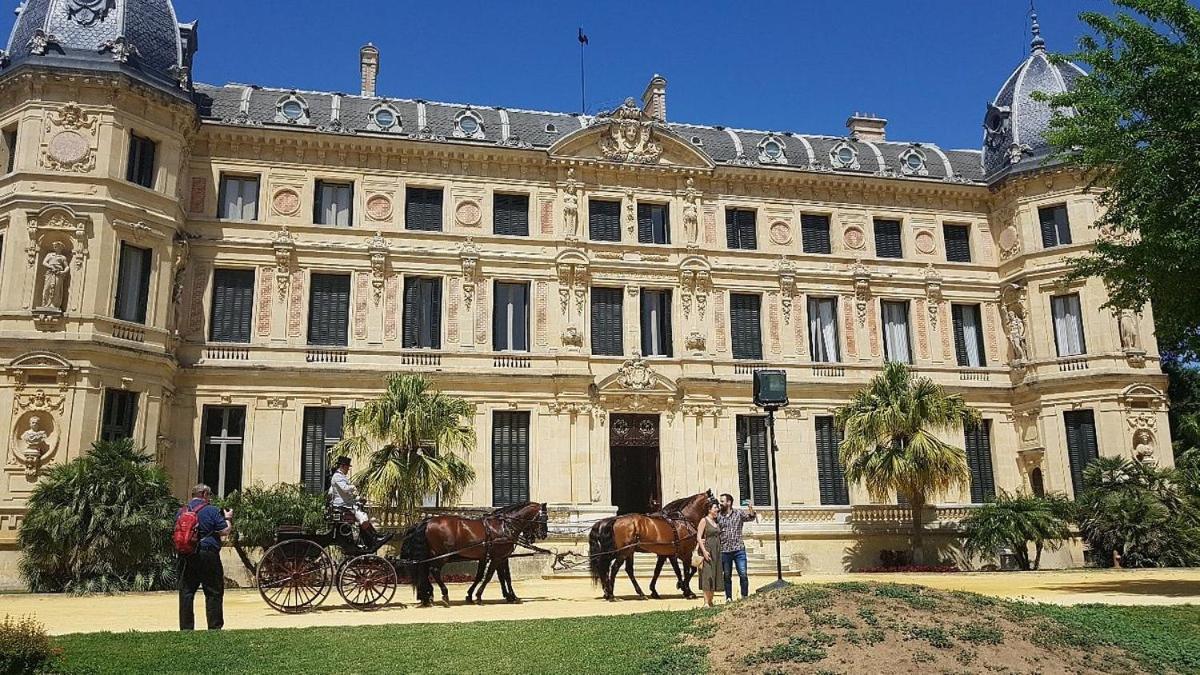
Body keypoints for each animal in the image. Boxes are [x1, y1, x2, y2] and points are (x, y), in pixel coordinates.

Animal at [403, 499, 552, 605]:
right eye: (544, 518)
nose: (543, 535)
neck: (504, 526)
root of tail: (428, 521)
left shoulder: (497, 557)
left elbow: (500, 576)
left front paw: (509, 596)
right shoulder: (497, 557)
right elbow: (489, 576)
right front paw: (479, 595)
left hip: (432, 555)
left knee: (424, 570)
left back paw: (427, 596)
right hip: (441, 556)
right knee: (433, 571)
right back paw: (443, 594)